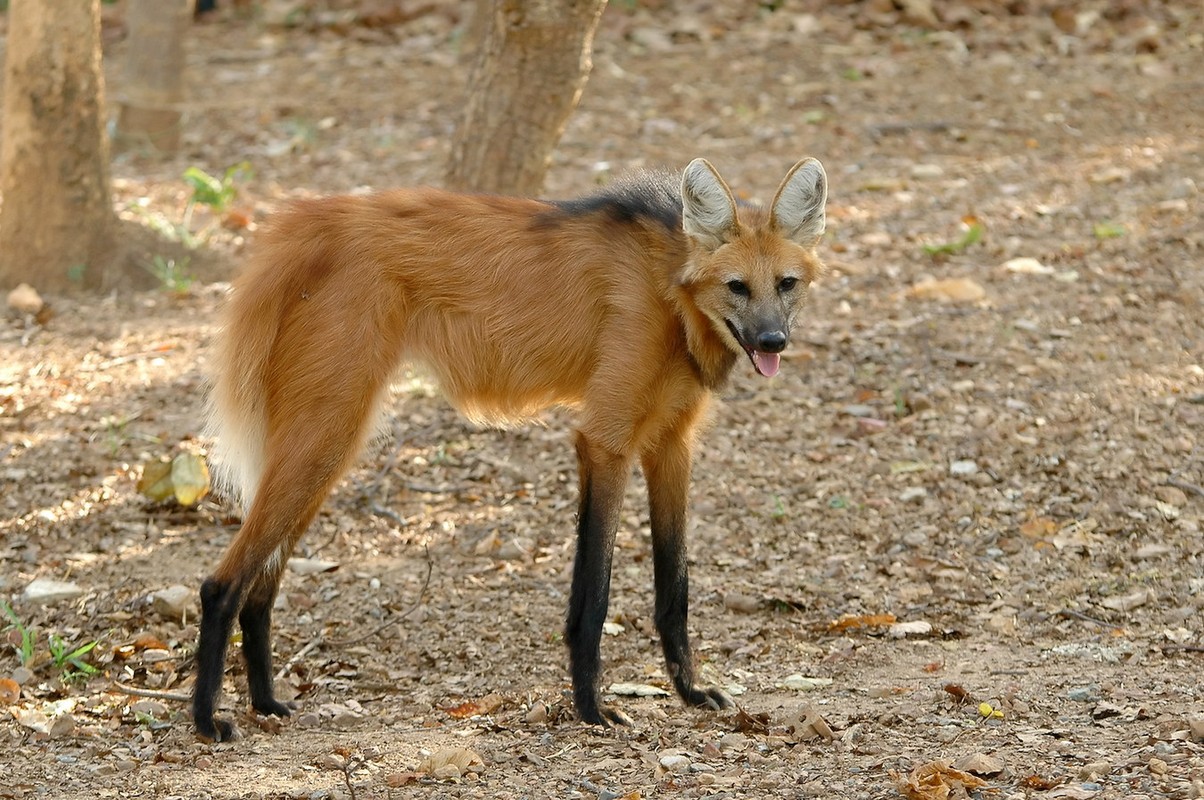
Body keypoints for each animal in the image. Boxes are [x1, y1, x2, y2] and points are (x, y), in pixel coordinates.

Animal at [192, 157, 828, 742]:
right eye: (737, 286)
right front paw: (593, 710)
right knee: (221, 584)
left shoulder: (672, 445)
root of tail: (308, 221)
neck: (671, 292)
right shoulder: (606, 442)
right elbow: (594, 595)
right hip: (328, 435)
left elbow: (675, 586)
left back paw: (266, 702)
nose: (773, 340)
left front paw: (691, 693)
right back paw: (207, 719)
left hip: (327, 449)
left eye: (786, 284)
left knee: (261, 586)